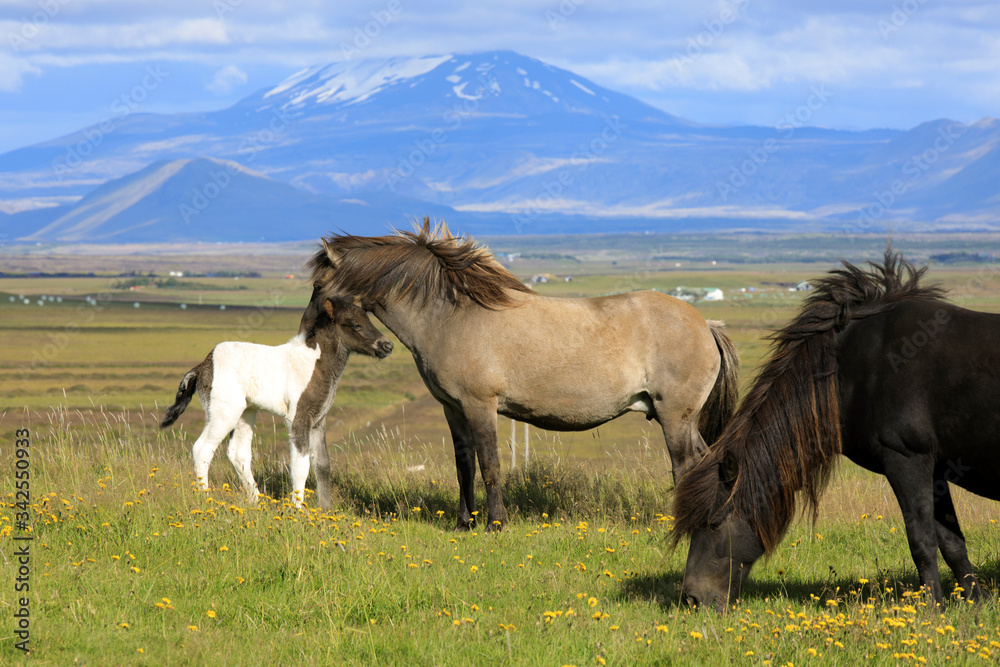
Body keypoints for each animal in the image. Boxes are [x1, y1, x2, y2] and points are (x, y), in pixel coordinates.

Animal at [160, 296, 393, 508]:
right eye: (354, 324)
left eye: (369, 319)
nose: (387, 345)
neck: (314, 363)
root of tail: (203, 366)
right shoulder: (298, 418)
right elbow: (301, 465)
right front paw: (298, 509)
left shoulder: (318, 420)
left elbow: (322, 463)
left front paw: (326, 510)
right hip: (223, 412)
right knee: (202, 449)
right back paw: (206, 499)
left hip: (246, 412)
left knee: (238, 453)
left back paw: (256, 501)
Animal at [302, 218, 740, 530]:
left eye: (319, 283)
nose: (306, 330)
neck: (451, 317)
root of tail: (706, 325)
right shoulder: (453, 409)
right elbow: (464, 465)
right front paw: (464, 523)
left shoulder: (480, 406)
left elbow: (490, 463)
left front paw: (495, 523)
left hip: (674, 417)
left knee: (685, 465)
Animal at [673, 251, 1000, 611]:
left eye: (714, 523)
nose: (692, 599)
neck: (852, 371)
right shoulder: (937, 467)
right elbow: (952, 542)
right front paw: (976, 602)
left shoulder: (907, 461)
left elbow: (922, 540)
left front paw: (930, 608)